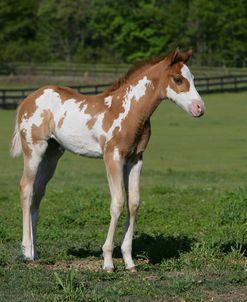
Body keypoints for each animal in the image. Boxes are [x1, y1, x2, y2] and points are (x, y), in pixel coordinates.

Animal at [11, 49, 205, 272]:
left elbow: (134, 203)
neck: (128, 110)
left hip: (52, 154)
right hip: (34, 150)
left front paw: (129, 262)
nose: (200, 108)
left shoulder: (136, 159)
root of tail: (27, 100)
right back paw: (26, 251)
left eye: (193, 78)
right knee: (26, 188)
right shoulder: (113, 157)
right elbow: (118, 202)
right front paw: (108, 261)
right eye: (178, 79)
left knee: (37, 193)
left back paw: (35, 253)